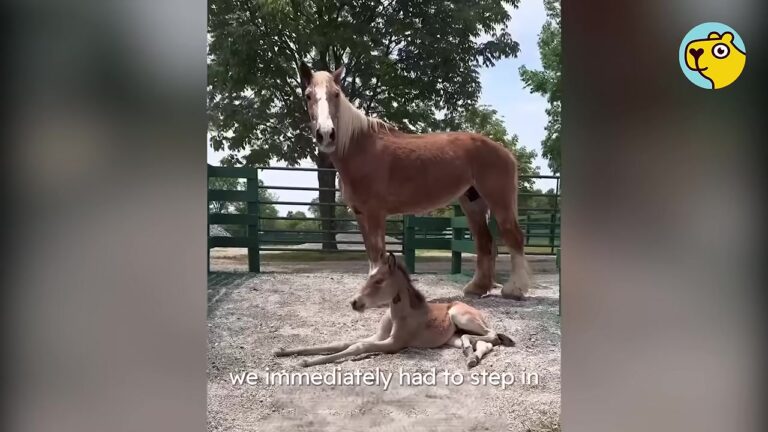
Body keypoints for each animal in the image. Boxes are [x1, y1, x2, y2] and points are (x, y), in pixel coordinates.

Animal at [274, 252, 515, 368]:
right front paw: (283, 351)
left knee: (491, 334)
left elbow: (358, 346)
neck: (398, 314)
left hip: (461, 316)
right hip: (451, 338)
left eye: (379, 280)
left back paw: (469, 350)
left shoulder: (394, 343)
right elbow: (340, 343)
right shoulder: (379, 336)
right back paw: (469, 355)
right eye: (368, 277)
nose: (354, 302)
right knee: (485, 343)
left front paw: (305, 362)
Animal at [299, 62, 530, 299]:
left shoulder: (374, 213)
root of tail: (505, 151)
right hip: (473, 202)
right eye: (308, 95)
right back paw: (477, 288)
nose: (326, 134)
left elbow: (377, 253)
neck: (361, 148)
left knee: (513, 237)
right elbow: (371, 254)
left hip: (499, 200)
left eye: (336, 94)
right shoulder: (361, 214)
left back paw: (514, 289)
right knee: (485, 242)